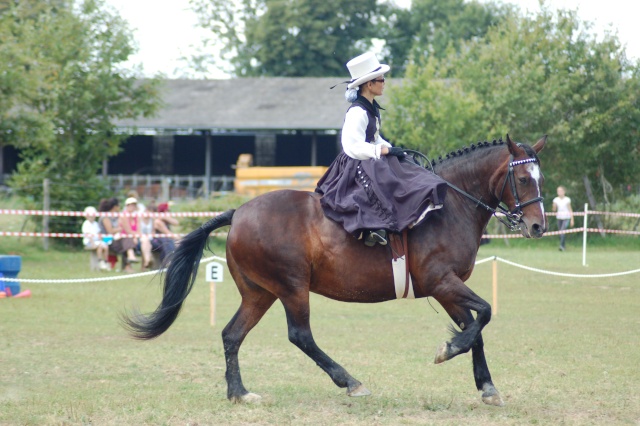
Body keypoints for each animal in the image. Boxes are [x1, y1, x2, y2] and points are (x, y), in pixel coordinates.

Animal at [124, 134, 544, 406]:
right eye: (523, 178)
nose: (537, 226)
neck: (449, 205)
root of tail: (238, 212)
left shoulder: (446, 288)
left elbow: (476, 329)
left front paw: (487, 388)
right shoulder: (443, 282)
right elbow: (483, 316)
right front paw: (448, 350)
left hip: (260, 293)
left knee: (232, 335)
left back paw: (239, 393)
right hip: (291, 287)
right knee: (300, 336)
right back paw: (350, 382)